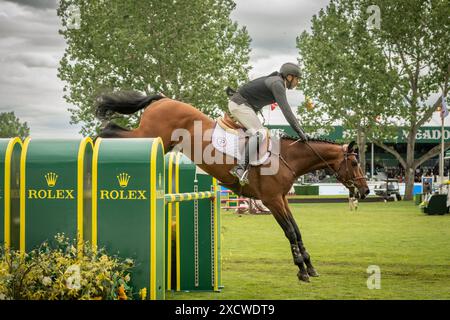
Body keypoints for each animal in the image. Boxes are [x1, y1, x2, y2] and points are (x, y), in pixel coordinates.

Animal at [95, 90, 370, 282]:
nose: (366, 191)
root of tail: (162, 100)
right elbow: (290, 232)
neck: (287, 157)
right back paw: (95, 140)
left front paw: (310, 266)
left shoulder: (282, 199)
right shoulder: (271, 200)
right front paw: (301, 270)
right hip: (151, 134)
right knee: (111, 129)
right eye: (355, 162)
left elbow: (297, 230)